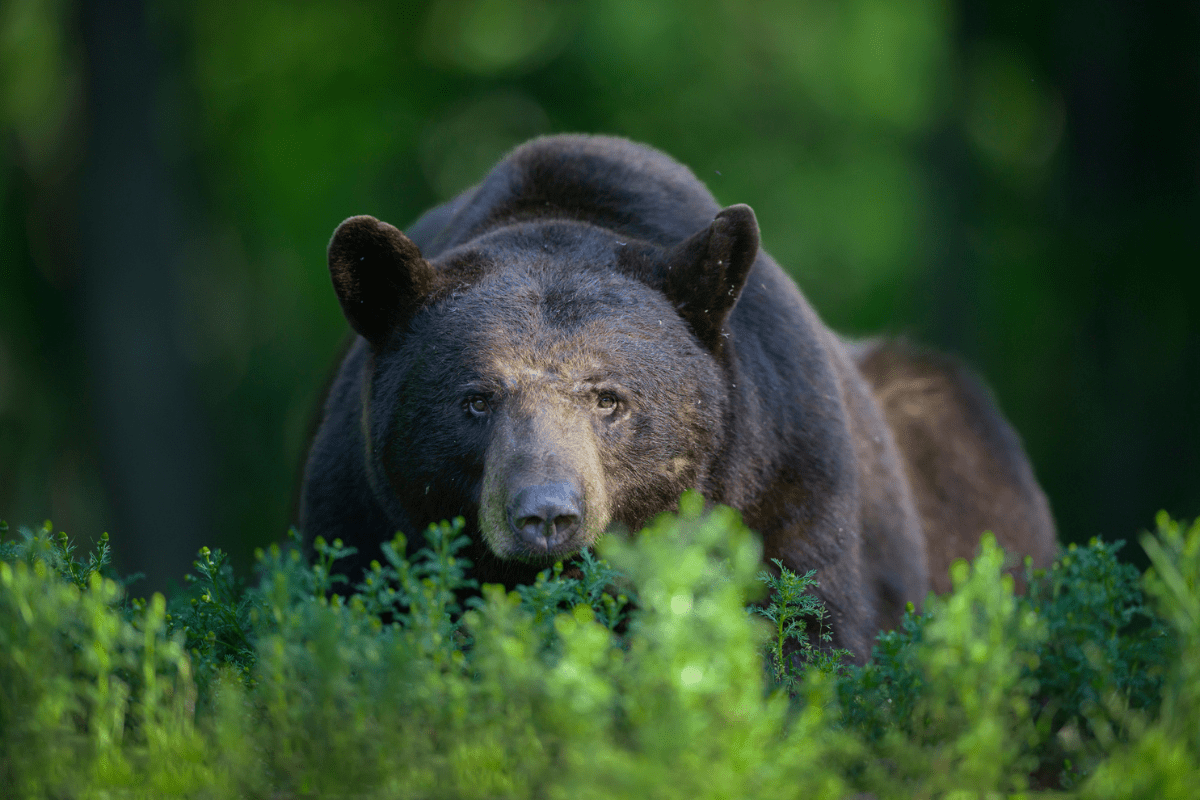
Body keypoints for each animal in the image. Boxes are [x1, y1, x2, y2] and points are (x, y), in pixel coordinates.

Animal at [299, 134, 1056, 659]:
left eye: (608, 398)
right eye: (478, 399)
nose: (546, 515)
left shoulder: (788, 475)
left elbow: (805, 629)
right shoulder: (361, 509)